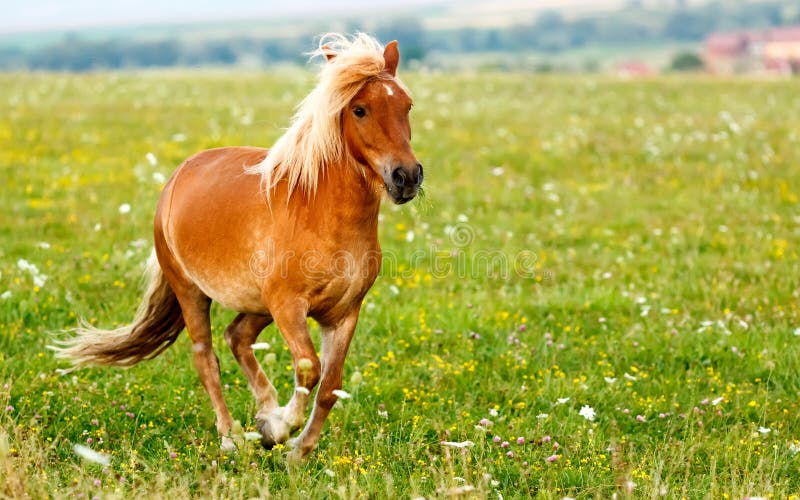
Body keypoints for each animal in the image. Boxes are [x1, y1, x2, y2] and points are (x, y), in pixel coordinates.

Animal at [53, 33, 423, 462]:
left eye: (406, 105)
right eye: (360, 109)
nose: (406, 176)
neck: (321, 213)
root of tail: (179, 175)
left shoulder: (343, 313)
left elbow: (330, 386)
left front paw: (296, 450)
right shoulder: (289, 306)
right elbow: (309, 368)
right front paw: (280, 428)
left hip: (257, 304)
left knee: (237, 337)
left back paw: (263, 414)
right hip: (193, 292)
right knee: (206, 357)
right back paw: (232, 436)